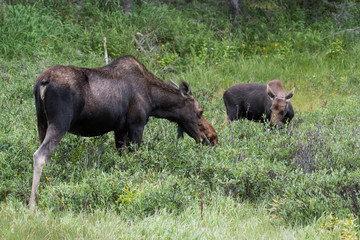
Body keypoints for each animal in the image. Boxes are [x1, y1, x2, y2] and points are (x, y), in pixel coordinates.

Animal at [29, 55, 215, 207]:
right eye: (200, 111)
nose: (213, 138)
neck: (154, 101)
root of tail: (41, 83)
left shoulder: (119, 129)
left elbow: (122, 161)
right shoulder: (136, 125)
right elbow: (136, 160)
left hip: (41, 123)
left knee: (47, 156)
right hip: (60, 123)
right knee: (40, 155)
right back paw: (33, 203)